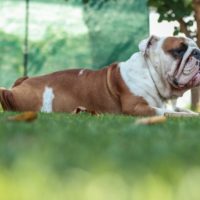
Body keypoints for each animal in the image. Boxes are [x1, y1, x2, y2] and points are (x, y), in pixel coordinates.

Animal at [0, 35, 200, 115]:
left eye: (195, 47)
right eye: (179, 50)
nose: (197, 52)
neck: (151, 75)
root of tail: (24, 81)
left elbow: (184, 111)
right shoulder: (137, 108)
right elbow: (171, 114)